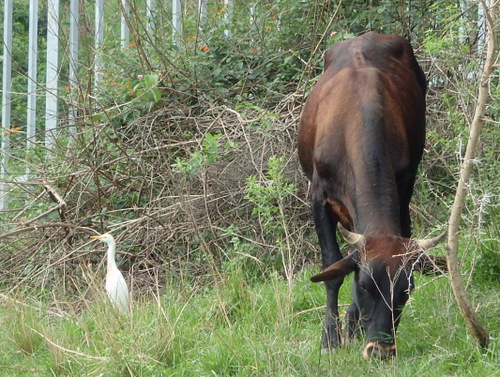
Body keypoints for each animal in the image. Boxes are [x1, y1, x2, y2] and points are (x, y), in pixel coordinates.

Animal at [298, 32, 444, 358]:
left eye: (406, 290)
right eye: (365, 285)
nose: (380, 350)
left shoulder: (403, 187)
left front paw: (351, 326)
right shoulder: (318, 197)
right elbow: (333, 267)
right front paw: (330, 339)